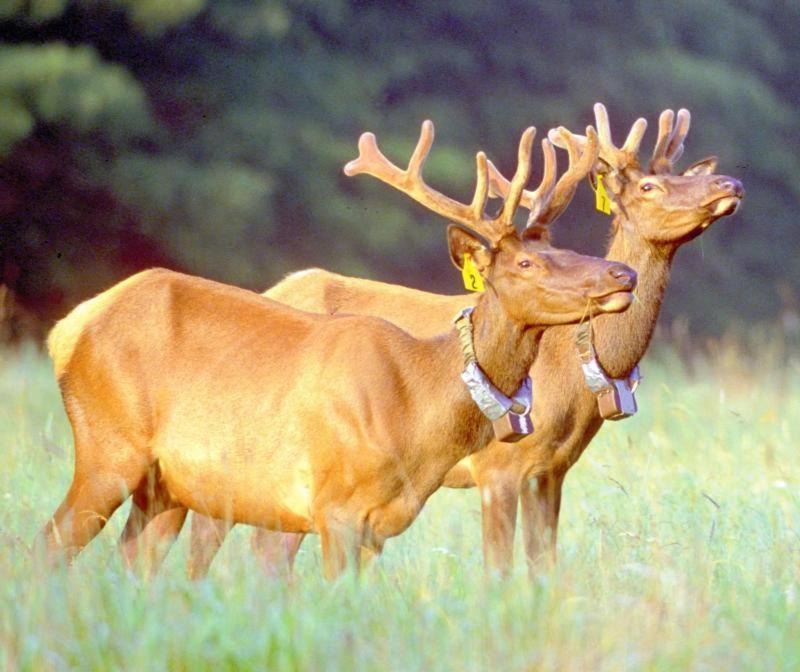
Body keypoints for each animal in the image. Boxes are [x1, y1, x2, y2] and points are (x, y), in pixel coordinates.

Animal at [188, 102, 744, 576]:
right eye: (649, 186)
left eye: (683, 175)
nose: (730, 181)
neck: (576, 370)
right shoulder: (499, 466)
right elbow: (497, 567)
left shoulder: (553, 470)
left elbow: (544, 567)